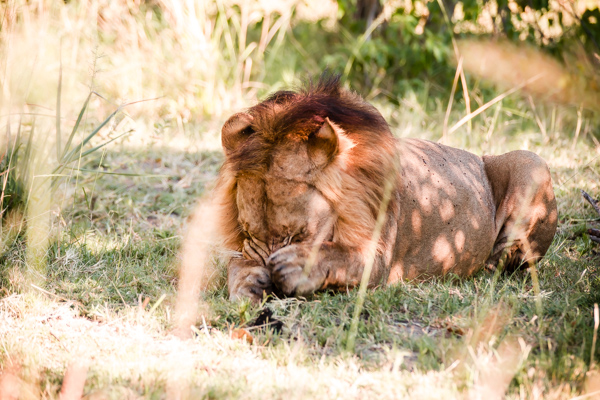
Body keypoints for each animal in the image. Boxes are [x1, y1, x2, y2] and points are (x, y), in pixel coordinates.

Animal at [216, 73, 556, 302]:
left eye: (300, 235)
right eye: (247, 232)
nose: (270, 273)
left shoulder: (378, 258)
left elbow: (338, 256)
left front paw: (295, 265)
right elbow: (236, 265)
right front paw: (250, 280)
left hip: (531, 162)